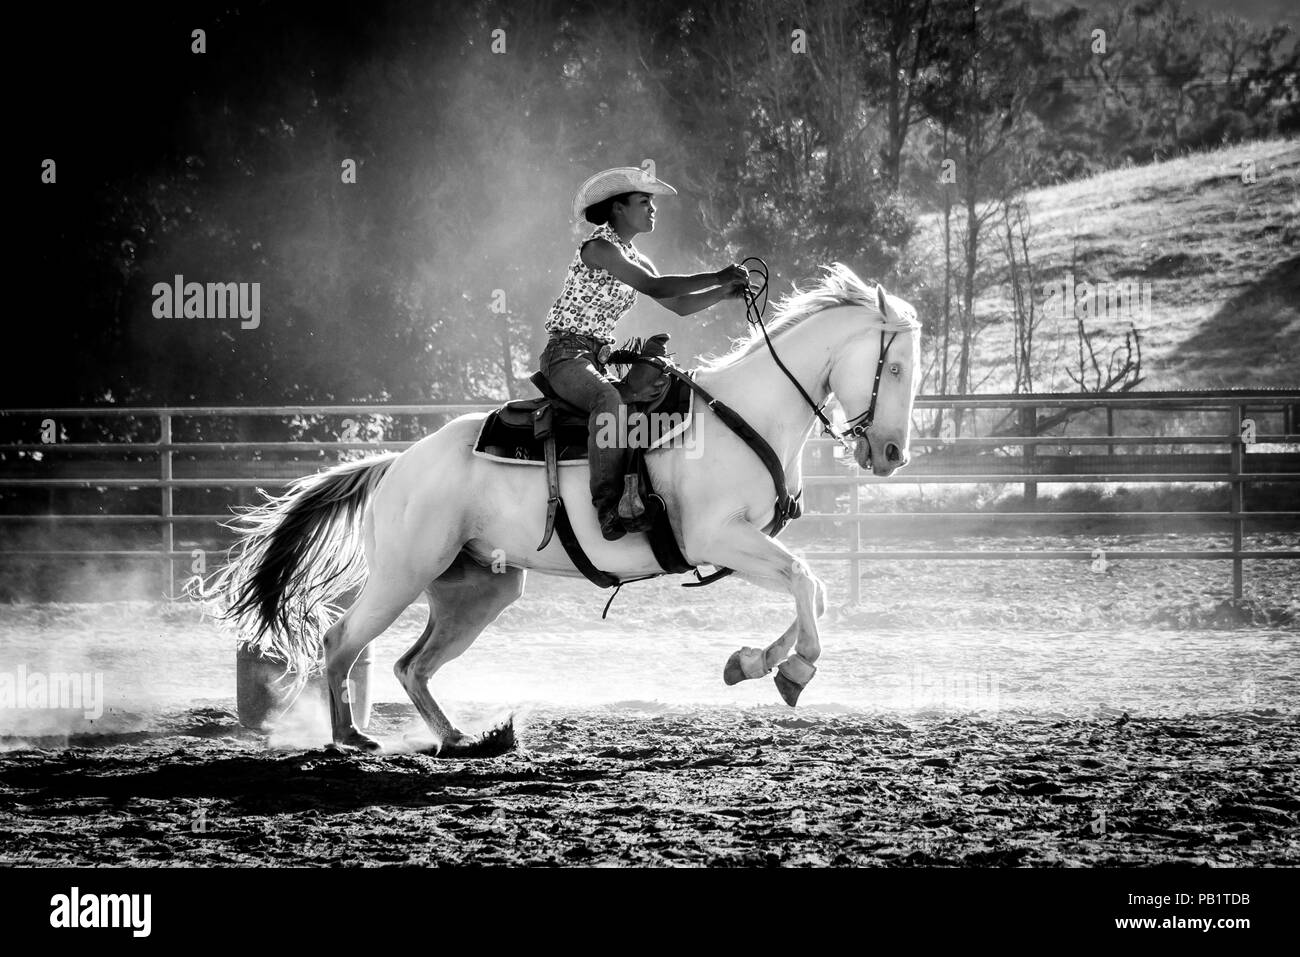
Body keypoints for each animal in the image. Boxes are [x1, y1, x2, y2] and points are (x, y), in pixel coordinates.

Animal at [214, 262, 922, 753]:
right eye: (897, 368)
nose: (891, 453)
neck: (745, 413)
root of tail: (397, 465)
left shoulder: (744, 544)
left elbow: (813, 591)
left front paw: (753, 663)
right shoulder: (717, 537)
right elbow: (806, 581)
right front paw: (793, 669)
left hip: (478, 591)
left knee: (409, 665)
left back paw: (461, 738)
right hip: (401, 575)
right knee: (342, 642)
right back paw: (349, 738)